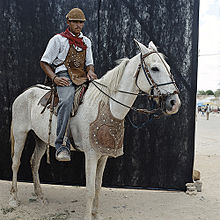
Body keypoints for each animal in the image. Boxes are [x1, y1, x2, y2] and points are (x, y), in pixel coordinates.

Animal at [8, 40, 180, 219]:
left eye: (168, 67)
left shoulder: (103, 155)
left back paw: (40, 196)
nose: (174, 102)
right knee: (16, 163)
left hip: (41, 139)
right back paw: (13, 199)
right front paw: (88, 215)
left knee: (34, 162)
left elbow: (98, 186)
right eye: (155, 68)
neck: (106, 105)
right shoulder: (91, 155)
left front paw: (96, 214)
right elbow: (90, 190)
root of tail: (25, 93)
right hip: (20, 134)